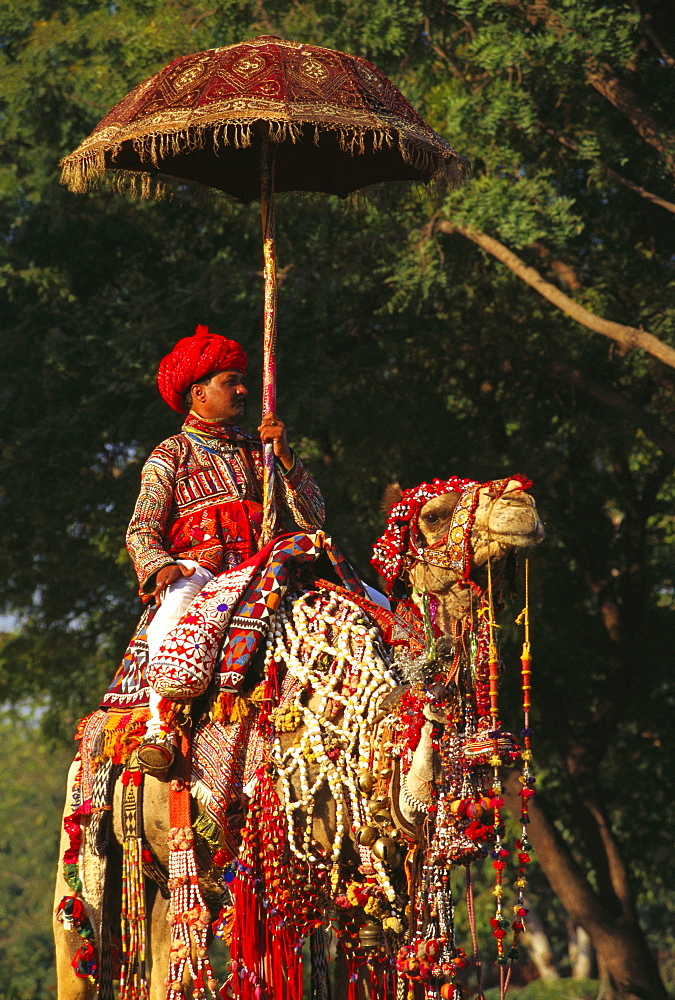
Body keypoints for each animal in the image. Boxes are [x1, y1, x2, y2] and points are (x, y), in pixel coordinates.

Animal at [55, 474, 548, 1000]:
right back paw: (157, 742)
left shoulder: (374, 877)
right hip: (83, 839)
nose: (521, 501)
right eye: (434, 515)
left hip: (170, 879)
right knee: (80, 944)